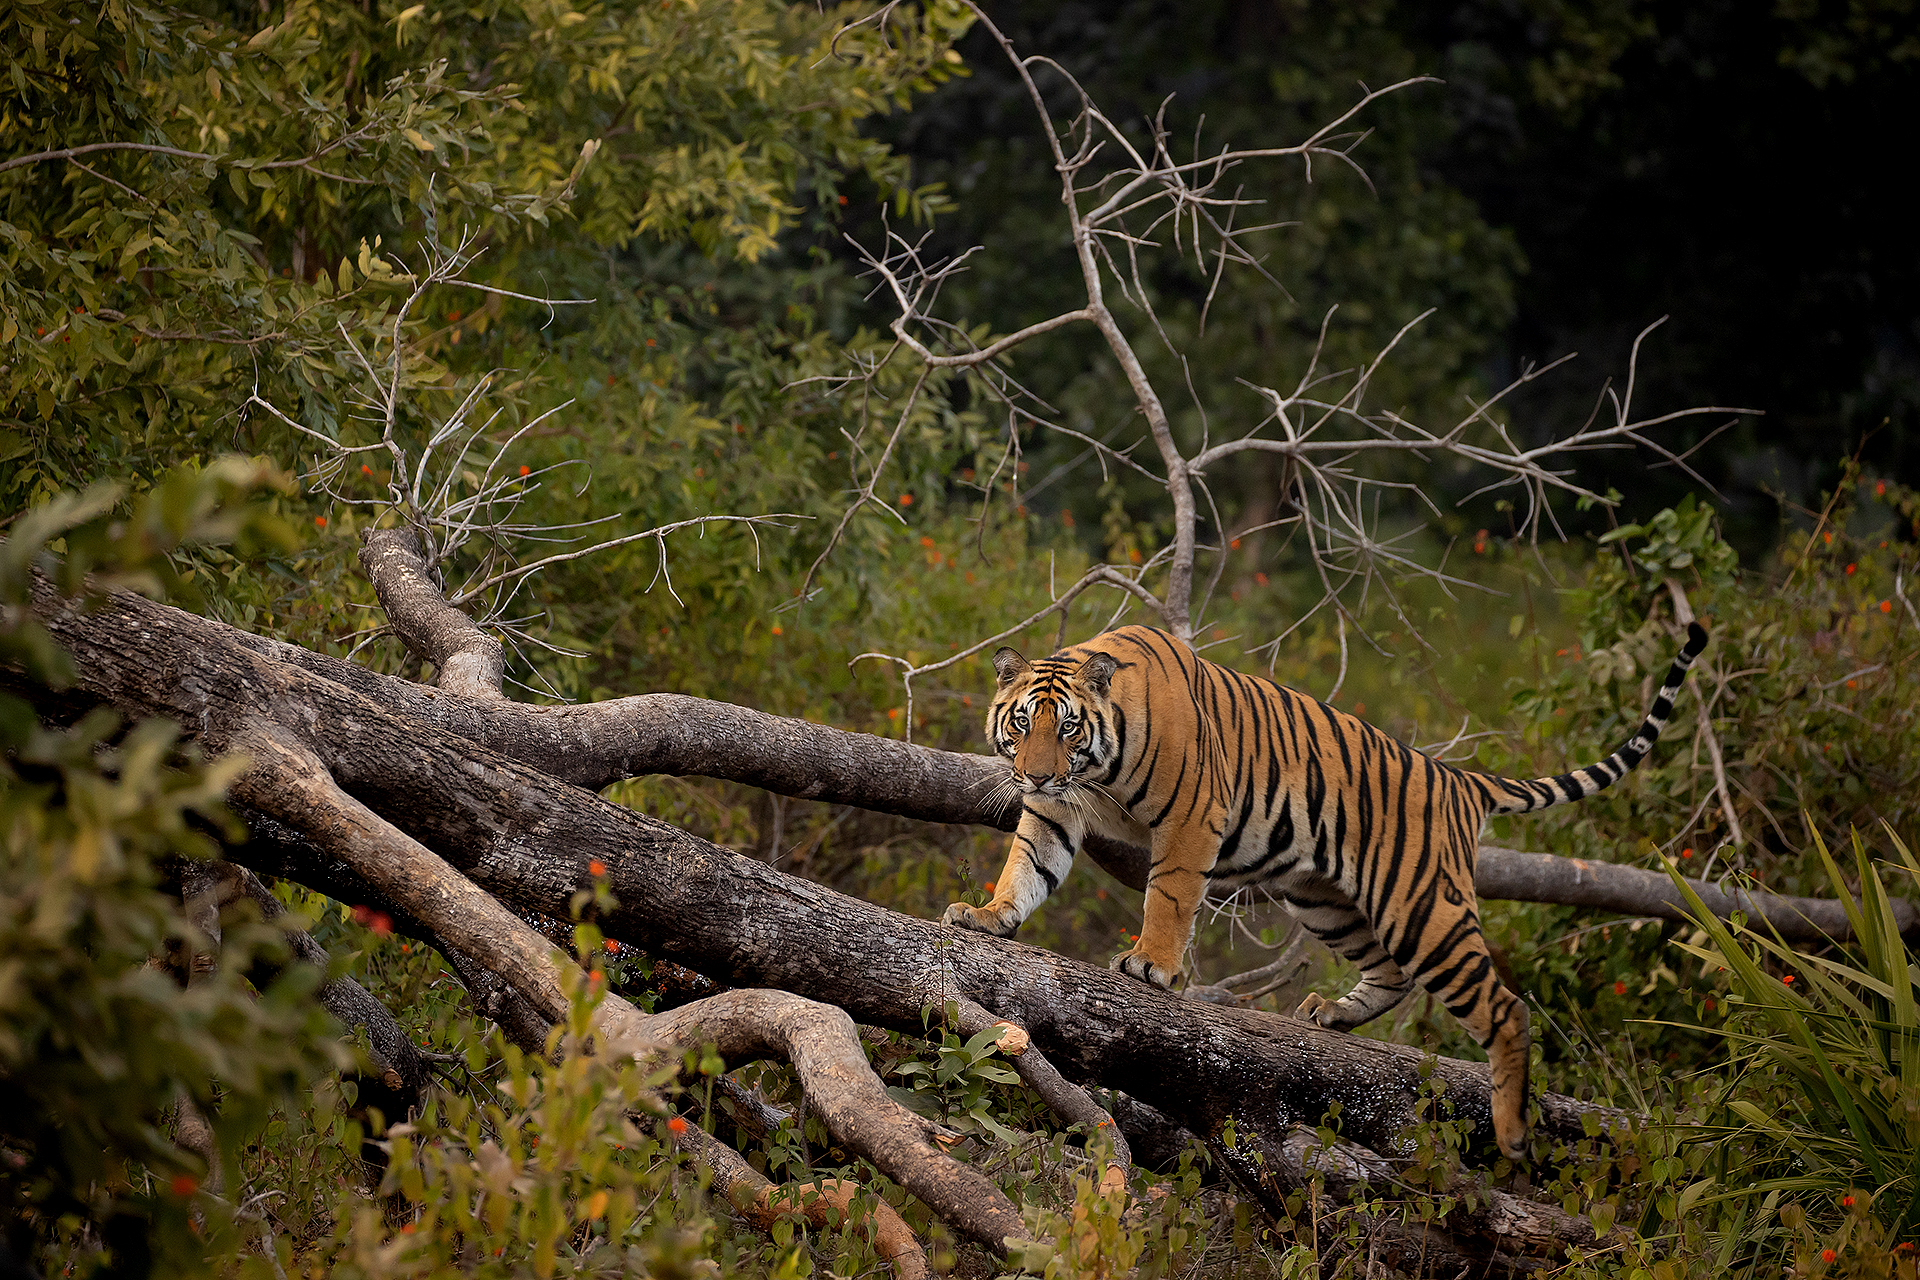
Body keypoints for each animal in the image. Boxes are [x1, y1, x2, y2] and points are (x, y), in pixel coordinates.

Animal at [942, 621, 1709, 1160]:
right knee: (1392, 975)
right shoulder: (1054, 813)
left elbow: (1169, 896)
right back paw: (1330, 1015)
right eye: (1022, 723)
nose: (1037, 773)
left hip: (1420, 907)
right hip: (1325, 898)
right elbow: (1027, 868)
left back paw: (1513, 1132)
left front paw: (1151, 966)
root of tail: (1460, 778)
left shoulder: (1191, 817)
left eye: (1069, 726)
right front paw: (987, 916)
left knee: (1504, 1007)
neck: (1092, 772)